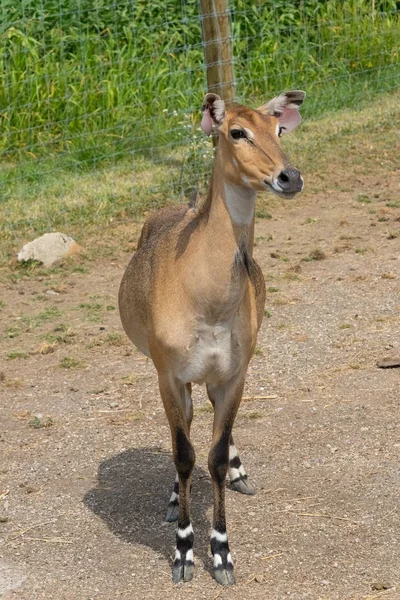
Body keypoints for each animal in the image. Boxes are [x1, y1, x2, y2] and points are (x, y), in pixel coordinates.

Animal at [119, 90, 306, 584]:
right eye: (237, 131)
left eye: (278, 130)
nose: (289, 177)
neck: (206, 301)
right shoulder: (169, 372)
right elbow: (184, 452)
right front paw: (183, 552)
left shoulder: (233, 373)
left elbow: (216, 455)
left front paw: (221, 553)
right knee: (181, 432)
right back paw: (172, 499)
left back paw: (240, 475)